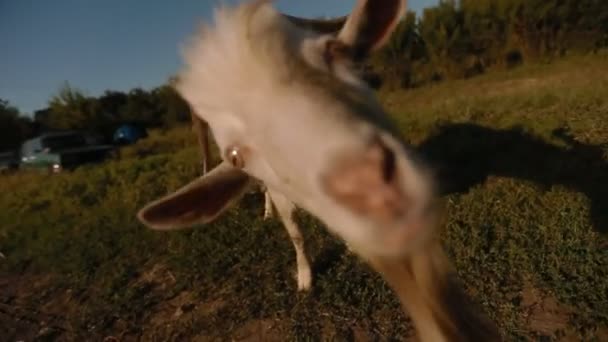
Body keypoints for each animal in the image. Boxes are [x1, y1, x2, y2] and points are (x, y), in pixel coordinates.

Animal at [140, 1, 502, 340]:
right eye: (234, 156)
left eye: (336, 51)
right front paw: (304, 277)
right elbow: (297, 235)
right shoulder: (284, 198)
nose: (372, 190)